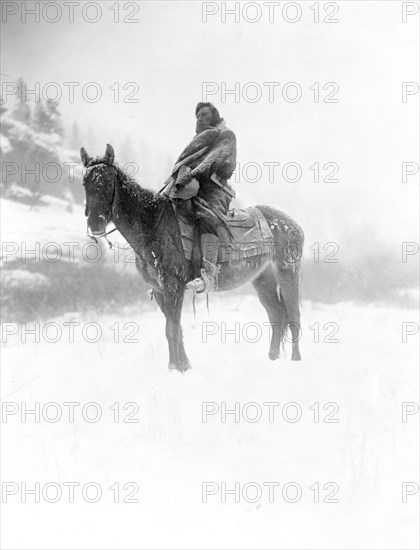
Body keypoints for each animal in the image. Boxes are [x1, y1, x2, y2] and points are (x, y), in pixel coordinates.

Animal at [82, 144, 304, 374]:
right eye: (85, 183)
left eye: (108, 182)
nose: (95, 224)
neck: (153, 226)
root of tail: (292, 224)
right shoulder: (160, 290)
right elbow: (174, 328)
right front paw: (183, 366)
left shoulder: (173, 287)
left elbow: (171, 328)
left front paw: (175, 368)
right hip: (262, 279)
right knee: (276, 314)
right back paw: (273, 359)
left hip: (289, 271)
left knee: (293, 315)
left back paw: (296, 360)